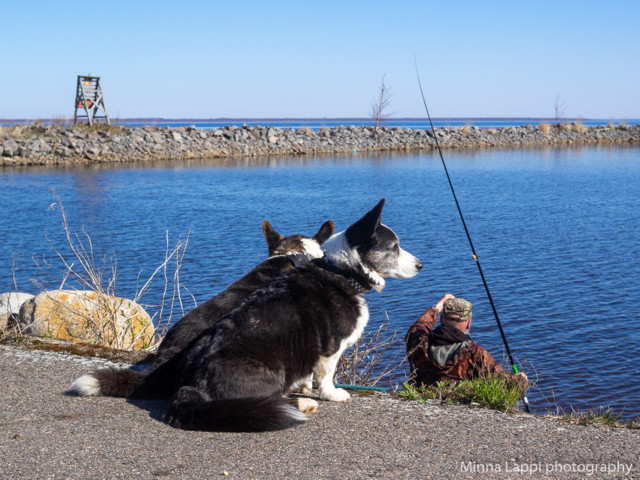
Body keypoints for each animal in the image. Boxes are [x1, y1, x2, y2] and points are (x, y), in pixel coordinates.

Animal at [72, 201, 420, 434]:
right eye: (394, 246)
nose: (421, 266)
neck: (341, 270)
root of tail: (190, 389)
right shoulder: (331, 347)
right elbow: (326, 374)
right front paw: (333, 393)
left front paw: (308, 387)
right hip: (273, 371)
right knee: (268, 401)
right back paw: (300, 406)